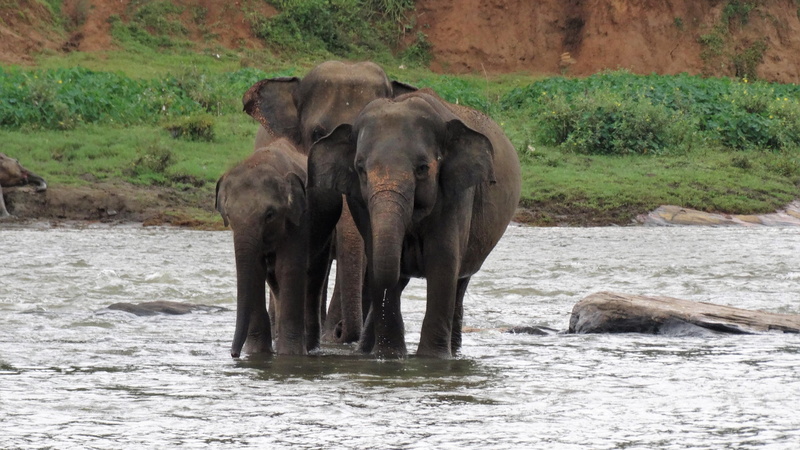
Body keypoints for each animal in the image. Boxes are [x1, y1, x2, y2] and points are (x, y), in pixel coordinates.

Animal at [215, 138, 310, 357]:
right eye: (229, 216)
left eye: (269, 215)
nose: (234, 354)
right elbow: (256, 271)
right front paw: (257, 353)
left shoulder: (299, 221)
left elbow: (288, 268)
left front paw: (289, 355)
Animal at [308, 90, 522, 359]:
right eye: (360, 169)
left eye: (422, 168)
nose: (337, 332)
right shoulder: (359, 203)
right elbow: (379, 260)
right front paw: (390, 357)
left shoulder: (457, 195)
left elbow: (443, 263)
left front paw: (432, 360)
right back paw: (366, 351)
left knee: (459, 284)